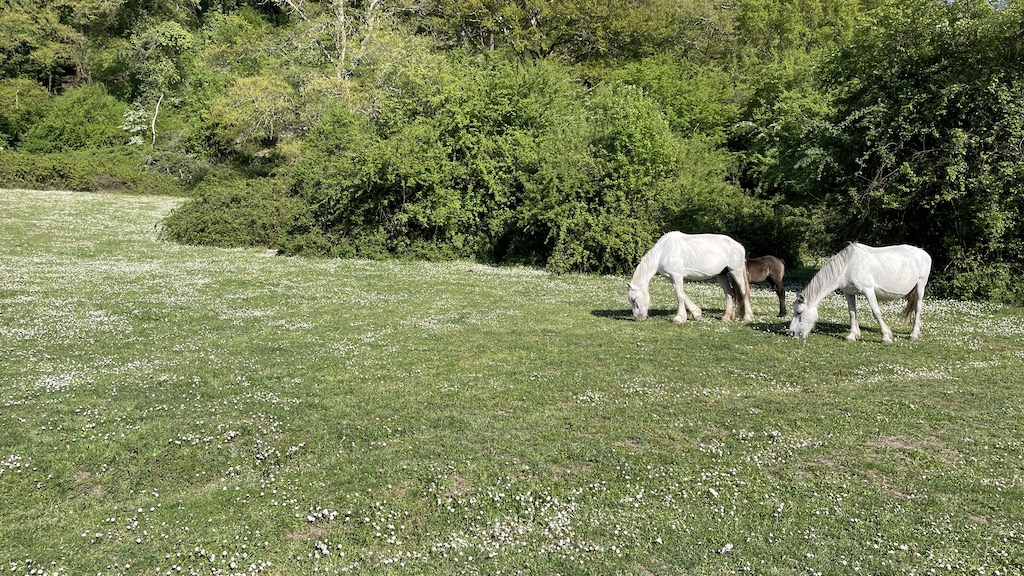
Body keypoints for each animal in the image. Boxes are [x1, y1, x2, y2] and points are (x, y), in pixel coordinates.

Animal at [622, 231, 753, 323]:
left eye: (634, 300)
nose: (638, 318)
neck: (663, 252)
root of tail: (739, 246)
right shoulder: (672, 278)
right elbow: (683, 295)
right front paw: (697, 314)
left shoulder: (677, 275)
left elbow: (680, 296)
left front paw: (679, 319)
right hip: (721, 275)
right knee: (729, 294)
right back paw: (726, 317)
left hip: (736, 271)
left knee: (744, 292)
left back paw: (748, 318)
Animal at [786, 240, 933, 340]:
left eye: (799, 312)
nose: (792, 333)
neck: (847, 267)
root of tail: (924, 253)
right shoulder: (849, 293)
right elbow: (852, 313)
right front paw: (852, 335)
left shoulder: (868, 291)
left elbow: (876, 313)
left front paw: (886, 336)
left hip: (920, 286)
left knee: (918, 307)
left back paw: (914, 334)